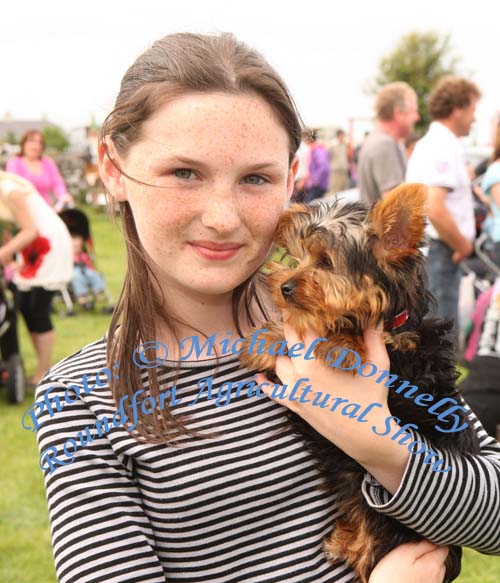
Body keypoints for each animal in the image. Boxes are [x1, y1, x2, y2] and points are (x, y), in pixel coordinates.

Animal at [238, 185, 480, 580]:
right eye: (299, 257)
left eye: (325, 262)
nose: (285, 287)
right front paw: (266, 340)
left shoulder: (403, 352)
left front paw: (342, 346)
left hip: (386, 531)